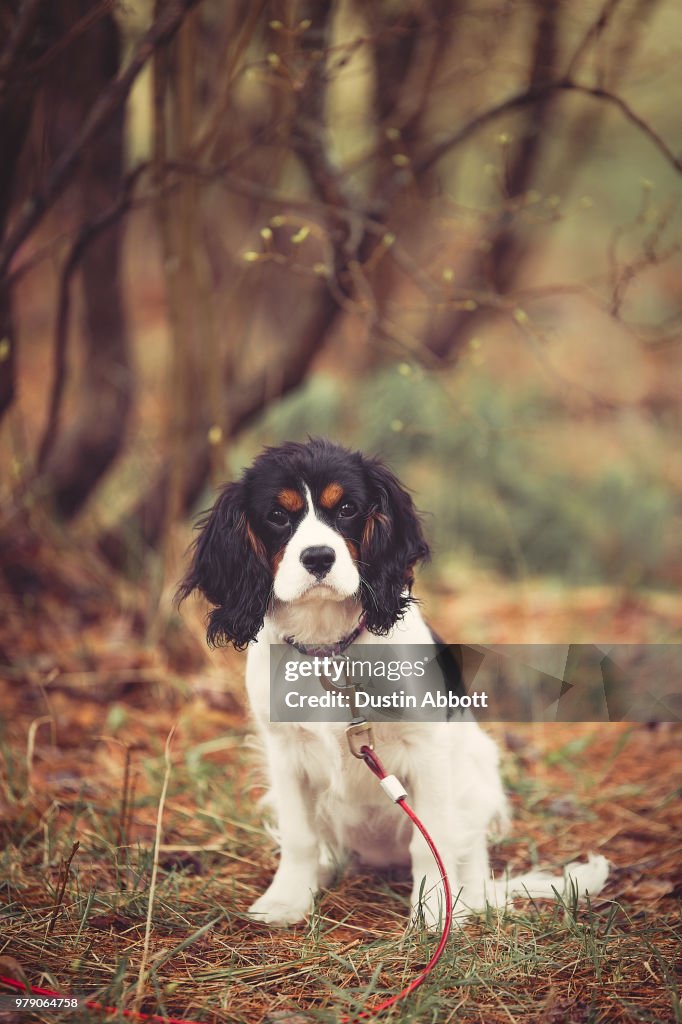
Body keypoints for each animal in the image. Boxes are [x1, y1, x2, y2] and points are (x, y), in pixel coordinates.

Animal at [178, 438, 606, 929]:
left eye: (347, 508)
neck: (330, 649)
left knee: (468, 859)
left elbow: (430, 842)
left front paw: (434, 912)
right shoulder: (284, 752)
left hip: (476, 771)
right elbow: (300, 836)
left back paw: (472, 898)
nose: (319, 557)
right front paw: (286, 901)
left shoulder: (427, 749)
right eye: (277, 515)